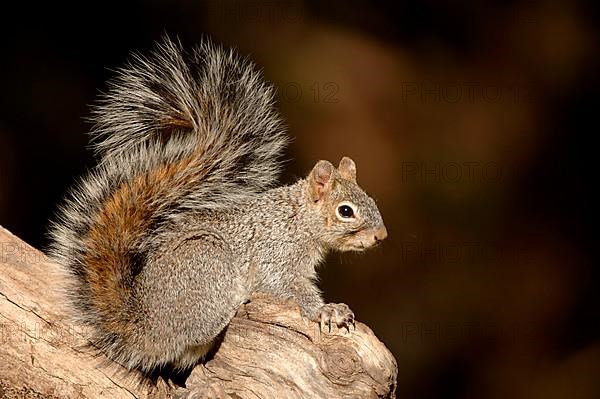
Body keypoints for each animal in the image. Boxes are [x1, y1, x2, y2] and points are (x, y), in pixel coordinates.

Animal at [48, 36, 390, 376]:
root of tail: (144, 328)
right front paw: (327, 310)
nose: (381, 236)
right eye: (345, 211)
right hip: (209, 264)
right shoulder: (276, 255)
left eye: (371, 199)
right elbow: (285, 287)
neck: (296, 218)